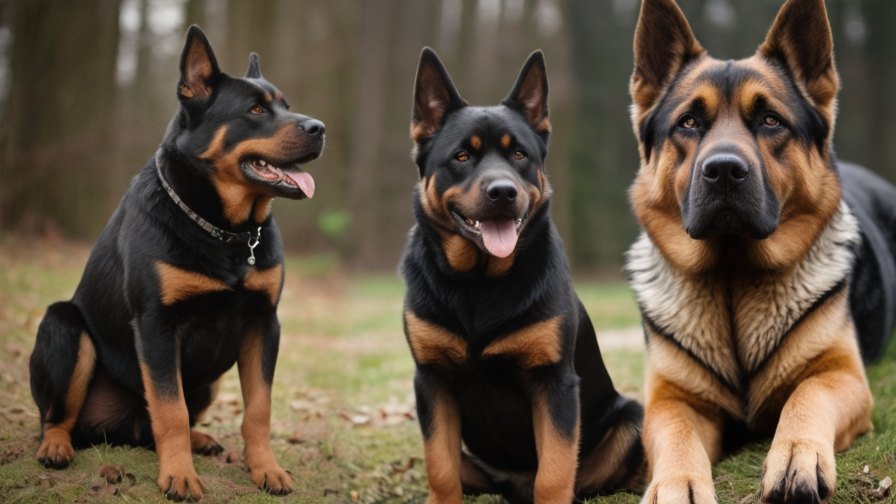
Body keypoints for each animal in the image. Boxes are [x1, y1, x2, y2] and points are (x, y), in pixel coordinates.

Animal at [28, 24, 326, 500]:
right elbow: (171, 410)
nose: (320, 128)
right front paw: (180, 476)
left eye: (285, 105)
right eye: (255, 110)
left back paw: (200, 440)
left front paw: (265, 468)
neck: (224, 229)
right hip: (65, 327)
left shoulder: (264, 323)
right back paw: (56, 446)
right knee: (56, 418)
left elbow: (258, 409)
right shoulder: (157, 325)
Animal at [400, 48, 644, 504]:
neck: (478, 284)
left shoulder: (554, 385)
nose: (502, 192)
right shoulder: (432, 382)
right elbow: (440, 468)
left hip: (629, 417)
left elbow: (555, 471)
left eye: (519, 156)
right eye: (462, 157)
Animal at [628, 1, 896, 502]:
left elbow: (807, 395)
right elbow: (675, 430)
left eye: (770, 120)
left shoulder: (843, 377)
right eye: (689, 122)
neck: (734, 277)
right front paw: (678, 482)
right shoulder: (671, 400)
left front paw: (797, 454)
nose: (724, 170)